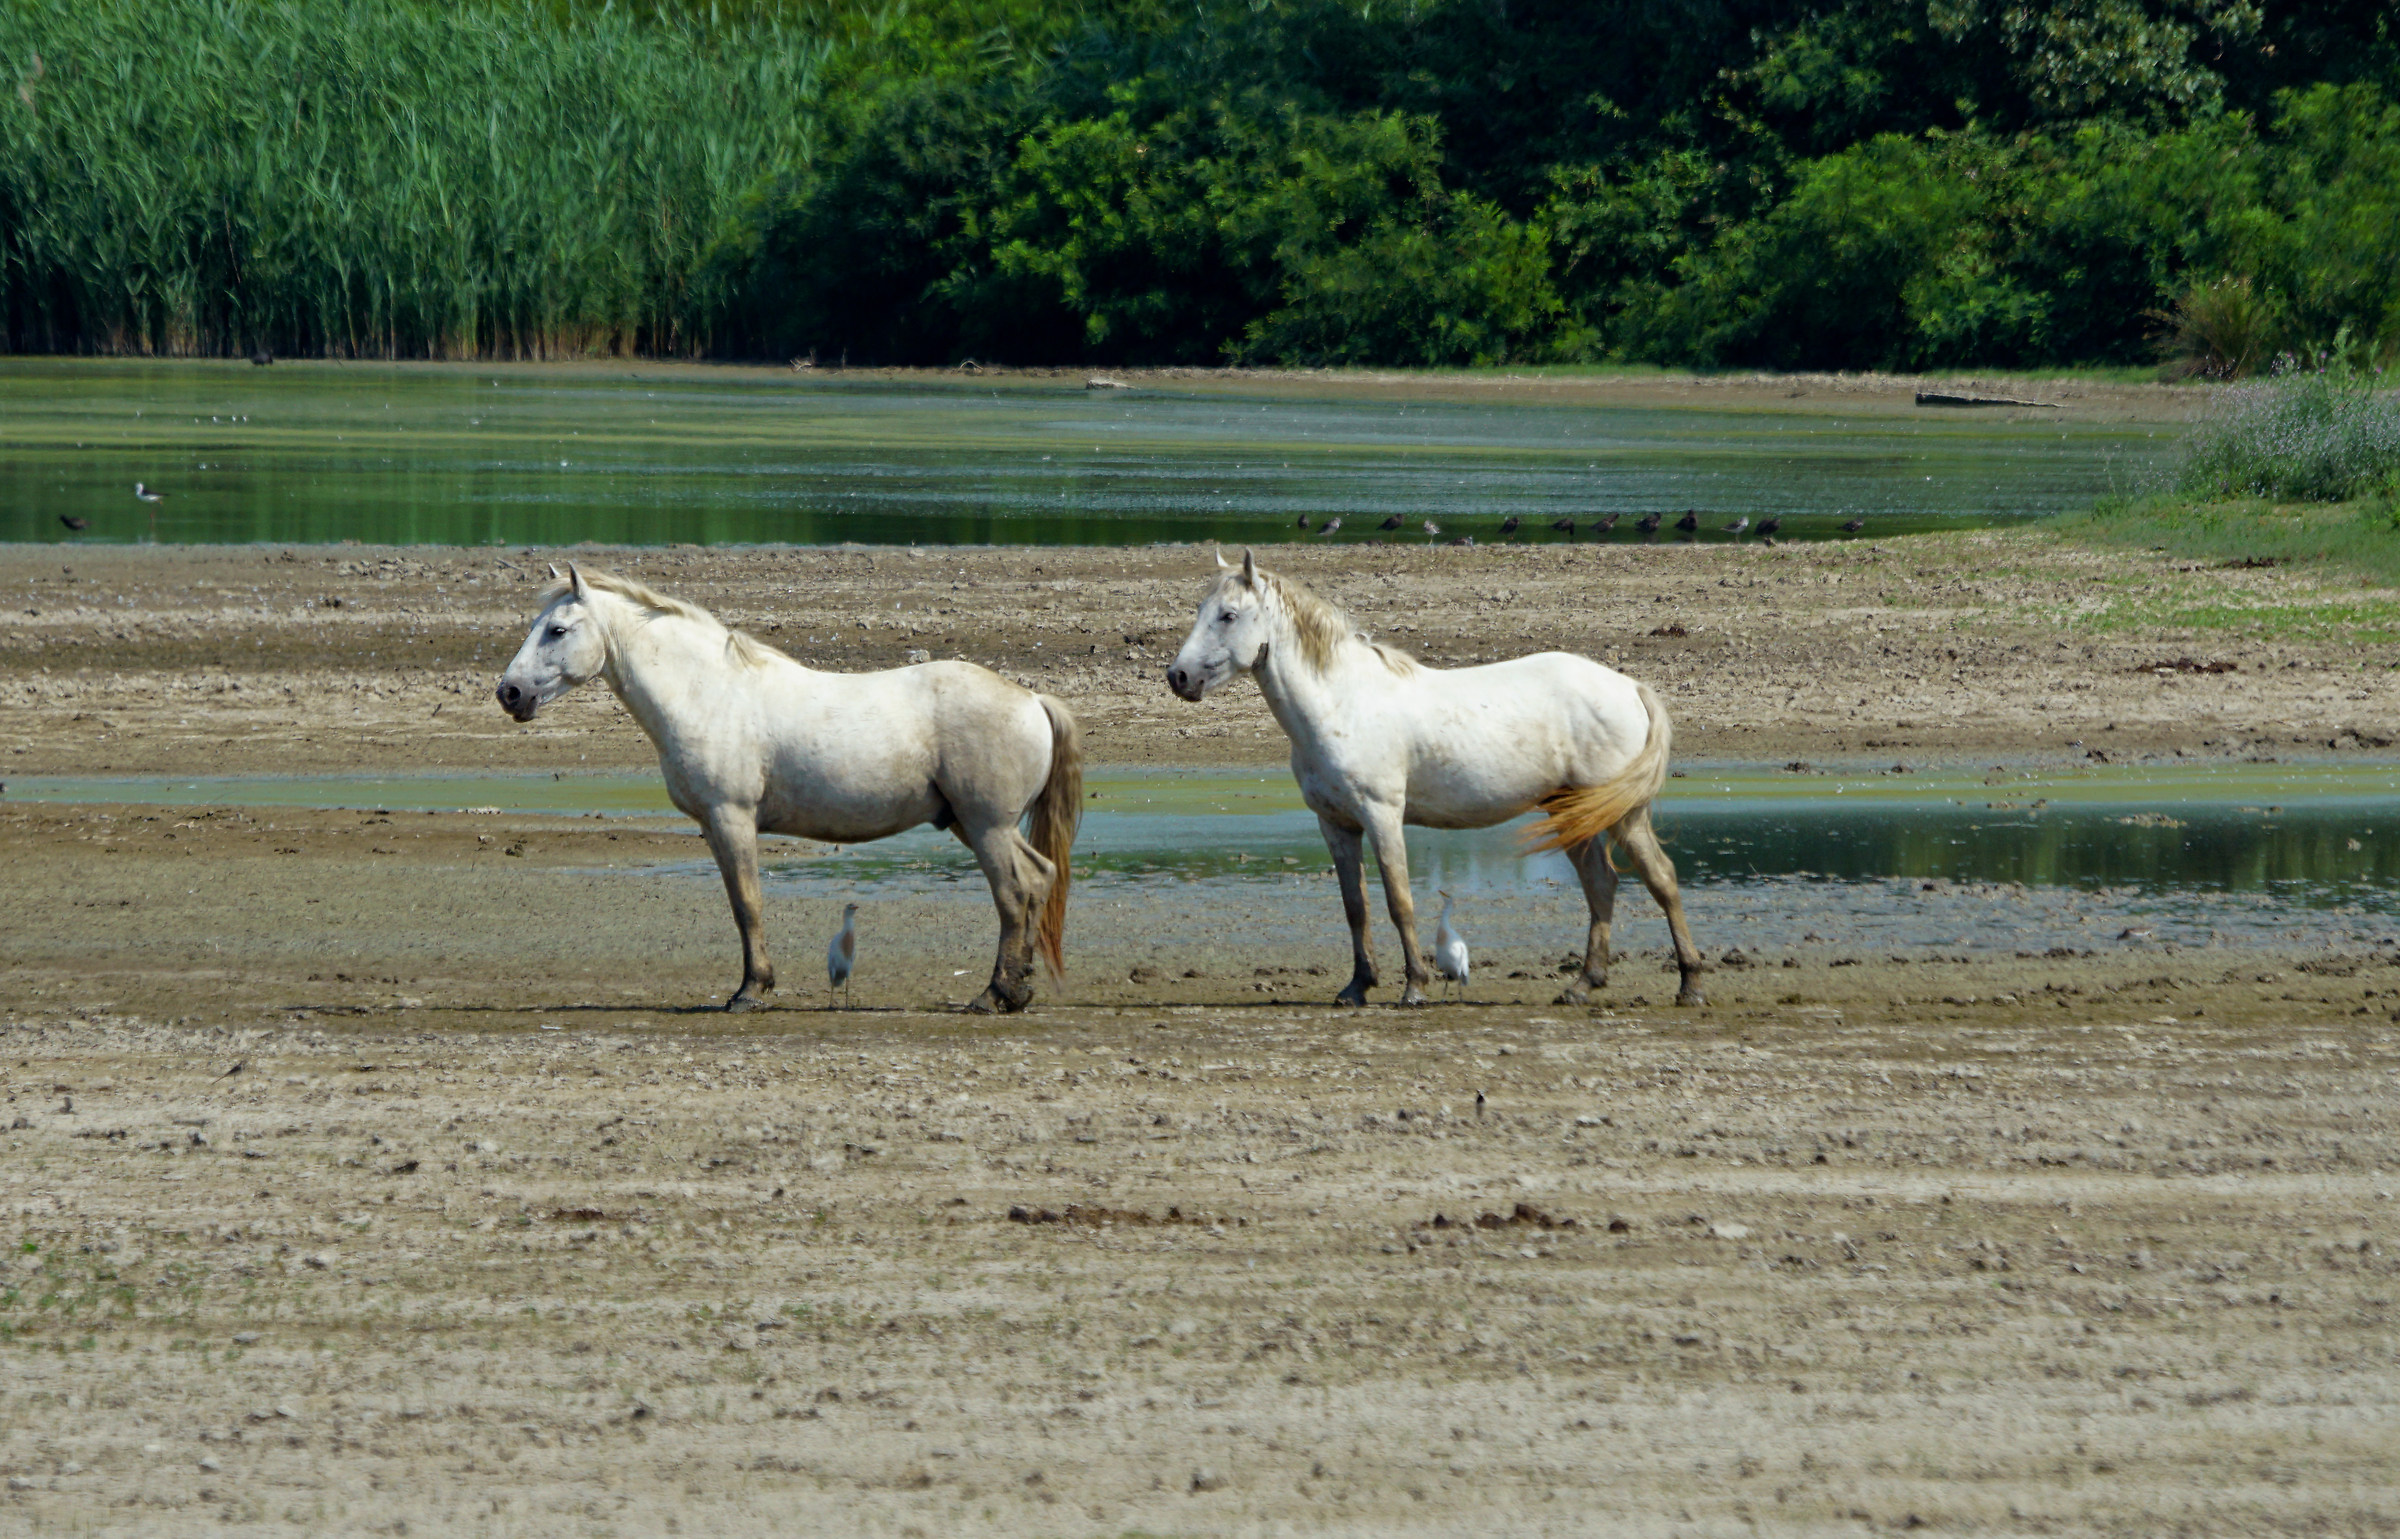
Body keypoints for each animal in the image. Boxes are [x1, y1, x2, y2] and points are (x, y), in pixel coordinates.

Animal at [496, 564, 1081, 1014]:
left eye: (557, 630)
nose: (509, 693)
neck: (710, 693)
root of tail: (1032, 700)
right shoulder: (714, 827)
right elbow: (739, 903)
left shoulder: (732, 818)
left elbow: (748, 902)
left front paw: (751, 991)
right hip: (974, 824)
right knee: (1038, 879)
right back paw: (1017, 990)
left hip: (986, 827)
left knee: (1014, 894)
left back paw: (994, 994)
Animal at [1165, 549, 1704, 1008]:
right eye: (1201, 608)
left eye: (1228, 615)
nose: (1179, 677)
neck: (1342, 701)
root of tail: (1628, 686)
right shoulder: (1336, 825)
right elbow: (1355, 906)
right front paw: (1357, 987)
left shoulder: (1382, 817)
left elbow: (1398, 900)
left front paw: (1414, 987)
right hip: (1573, 813)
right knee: (1601, 883)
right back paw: (1582, 985)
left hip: (1624, 815)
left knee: (1661, 879)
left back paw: (1689, 984)